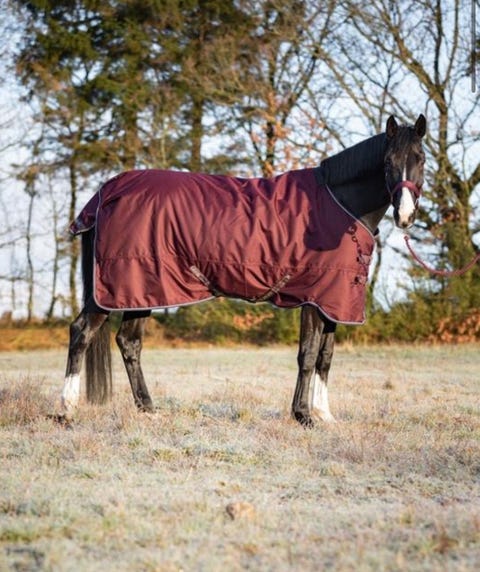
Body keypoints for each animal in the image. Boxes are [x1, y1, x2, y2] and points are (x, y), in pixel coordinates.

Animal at [59, 114, 426, 427]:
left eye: (420, 159)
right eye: (388, 163)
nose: (405, 216)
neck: (339, 202)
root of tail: (104, 194)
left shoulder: (333, 301)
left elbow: (326, 356)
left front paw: (325, 415)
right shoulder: (312, 299)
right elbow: (307, 355)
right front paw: (303, 415)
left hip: (143, 290)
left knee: (129, 343)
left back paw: (149, 409)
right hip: (116, 288)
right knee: (81, 333)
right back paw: (66, 411)